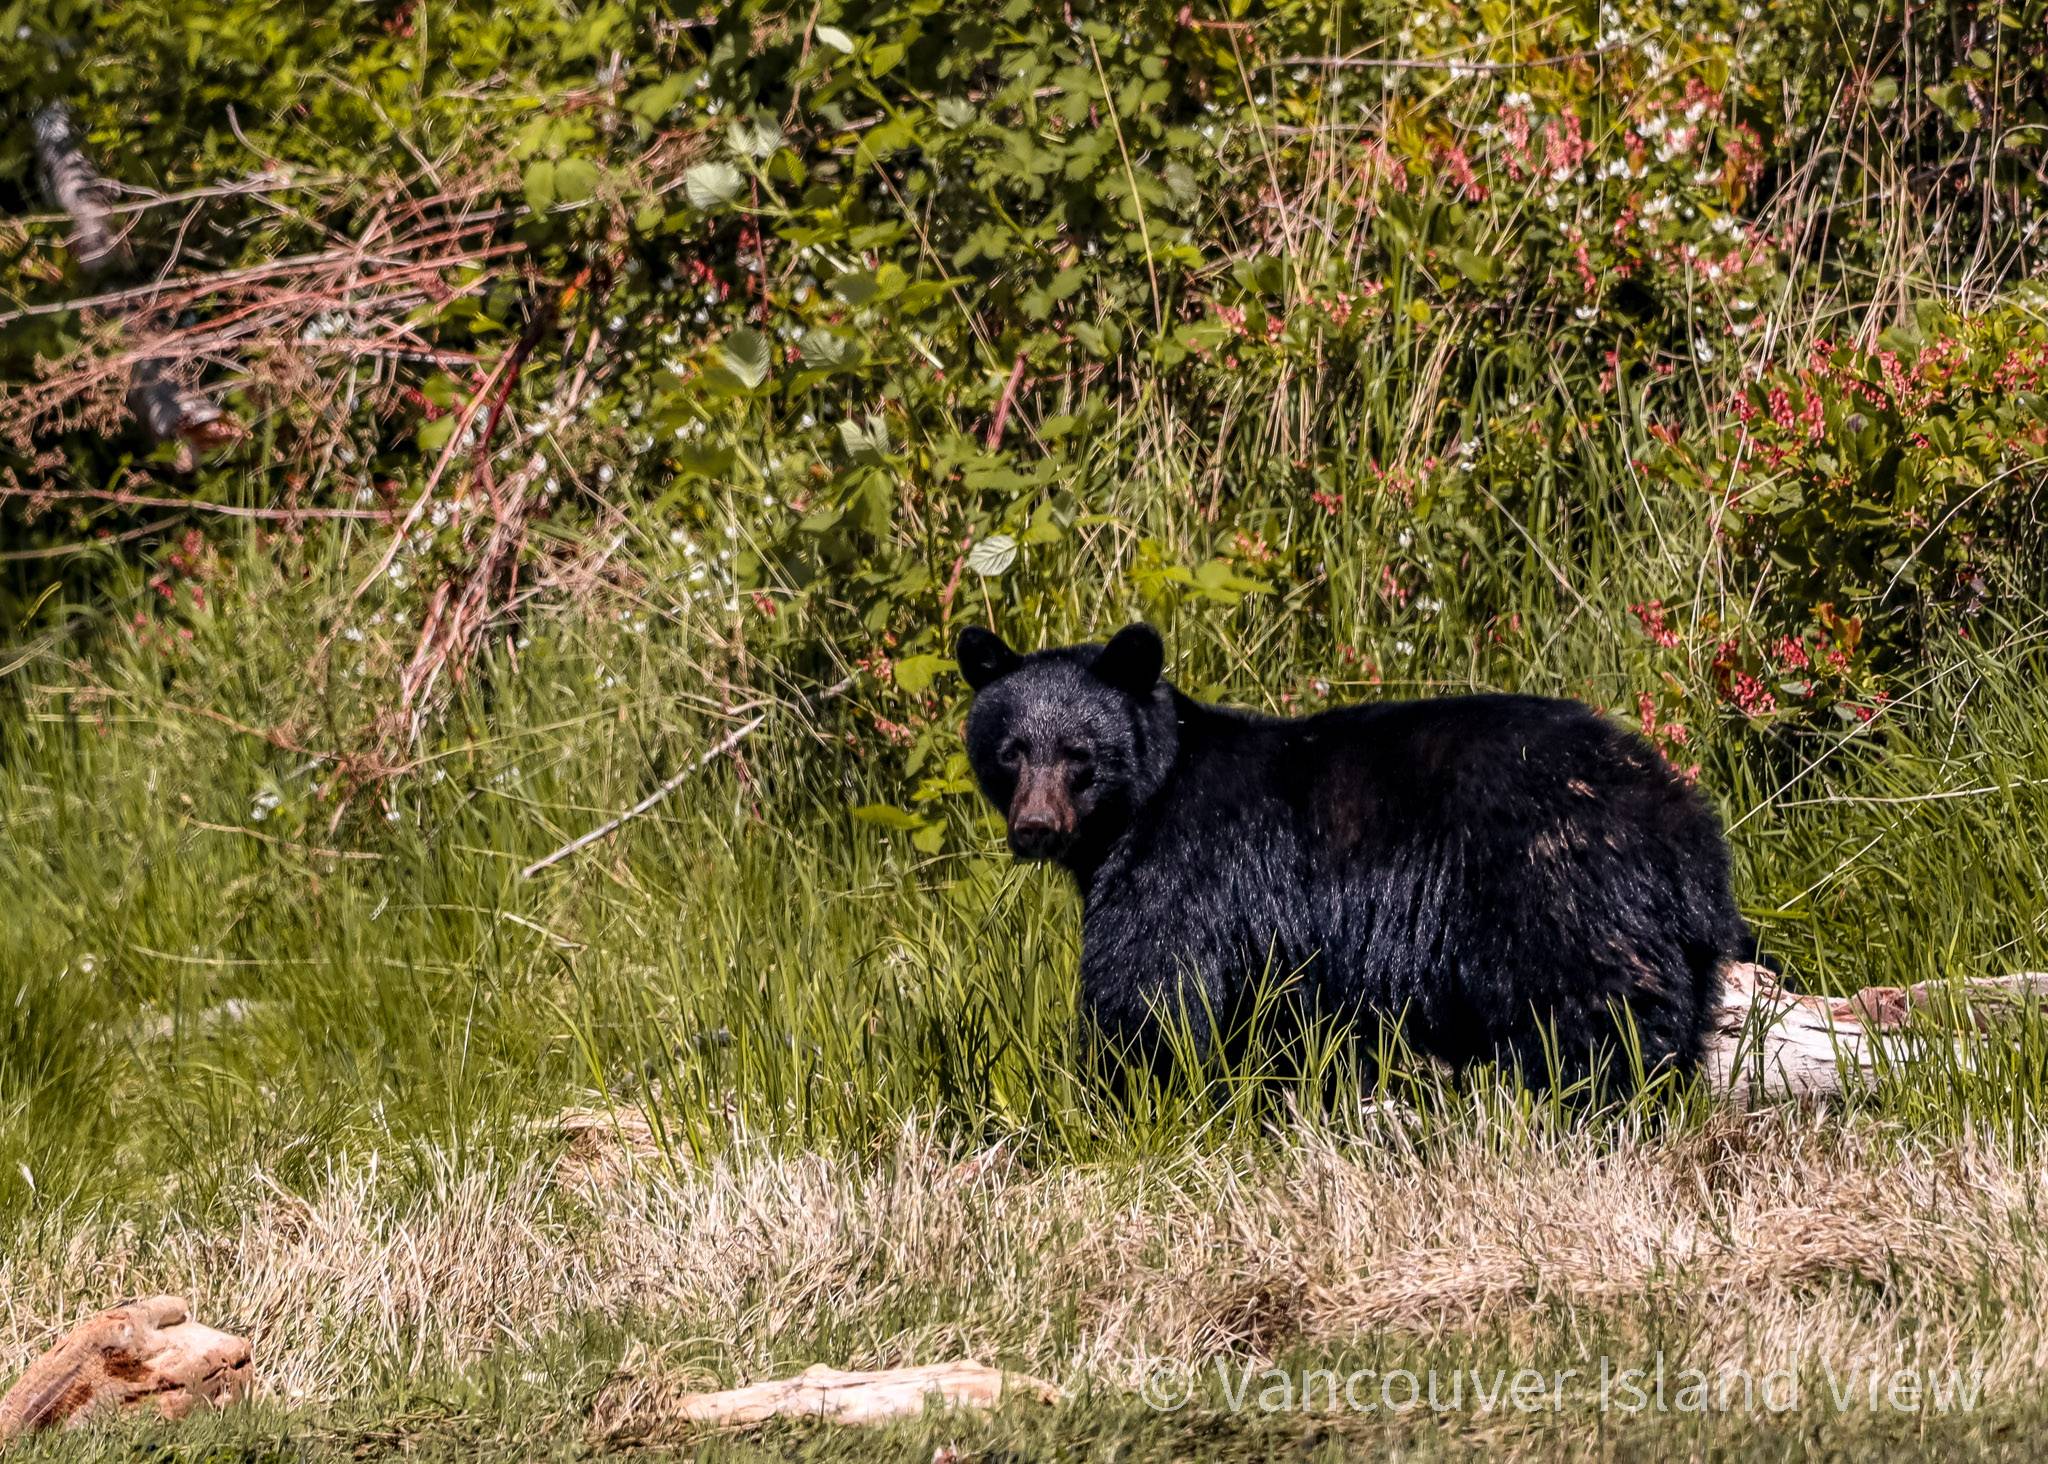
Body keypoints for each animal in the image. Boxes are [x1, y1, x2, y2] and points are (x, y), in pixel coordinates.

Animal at [956, 622, 1752, 1092]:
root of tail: (1684, 824)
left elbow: (1153, 991)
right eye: (1010, 751)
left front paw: (1125, 1095)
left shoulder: (1185, 868)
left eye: (1080, 756)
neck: (1150, 793)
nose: (1035, 828)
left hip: (1559, 891)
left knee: (1596, 1018)